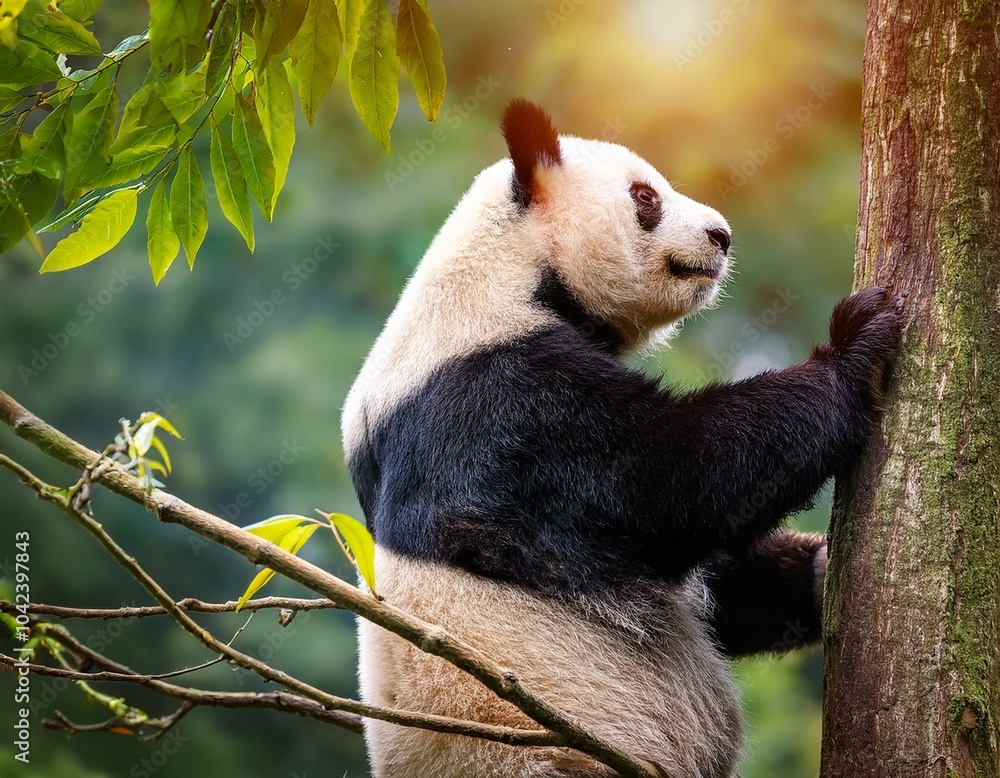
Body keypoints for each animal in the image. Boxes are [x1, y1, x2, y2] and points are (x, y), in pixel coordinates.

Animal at [342, 99, 901, 777]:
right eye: (645, 197)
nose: (722, 236)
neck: (510, 270)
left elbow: (713, 582)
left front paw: (816, 571)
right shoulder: (496, 404)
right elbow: (665, 482)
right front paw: (856, 346)